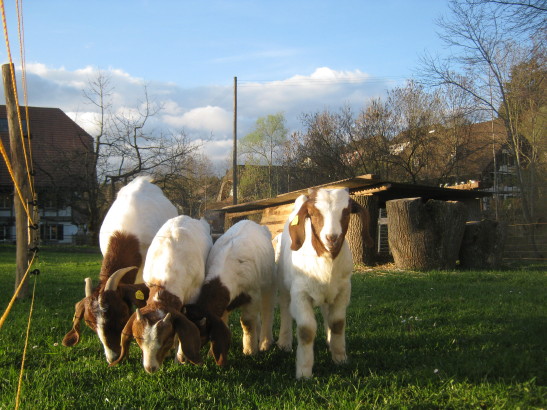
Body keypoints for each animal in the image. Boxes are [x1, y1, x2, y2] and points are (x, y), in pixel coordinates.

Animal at [188, 220, 276, 367]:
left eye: (201, 334)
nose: (186, 359)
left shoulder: (252, 294)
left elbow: (247, 322)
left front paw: (250, 351)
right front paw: (211, 354)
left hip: (269, 284)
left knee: (267, 311)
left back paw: (265, 343)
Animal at [276, 188, 373, 379]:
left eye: (346, 212)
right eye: (313, 213)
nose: (332, 237)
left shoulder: (343, 290)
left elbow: (337, 323)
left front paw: (340, 358)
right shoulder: (300, 293)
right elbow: (306, 330)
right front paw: (304, 371)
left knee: (327, 312)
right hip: (283, 285)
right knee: (285, 309)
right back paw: (284, 343)